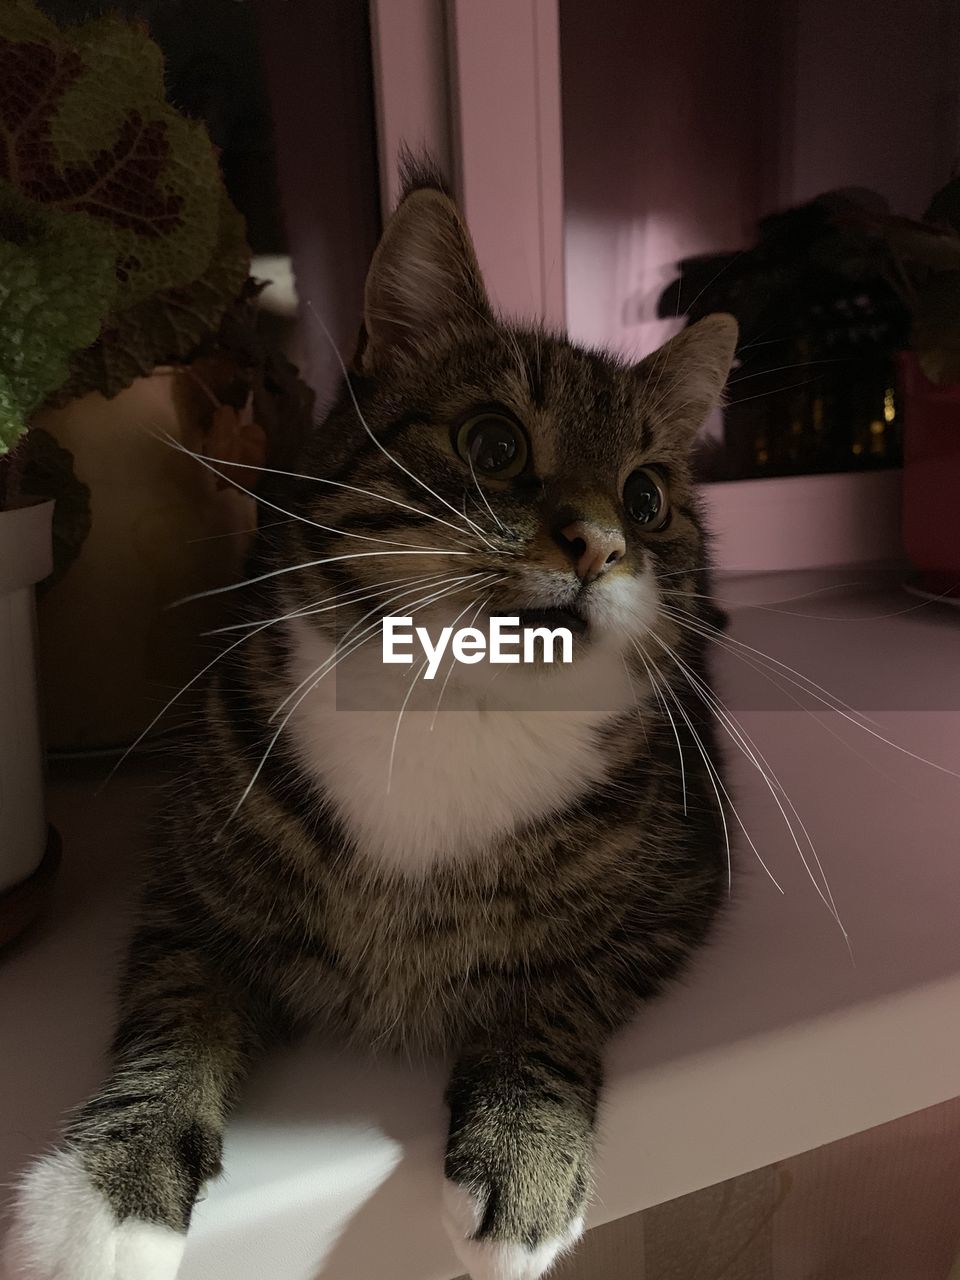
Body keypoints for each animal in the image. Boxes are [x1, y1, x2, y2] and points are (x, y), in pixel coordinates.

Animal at [5, 160, 737, 1280]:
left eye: (647, 497)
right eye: (494, 441)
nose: (603, 544)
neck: (453, 704)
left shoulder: (680, 891)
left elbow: (555, 991)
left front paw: (525, 1156)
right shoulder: (192, 897)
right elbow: (174, 1013)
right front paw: (110, 1189)